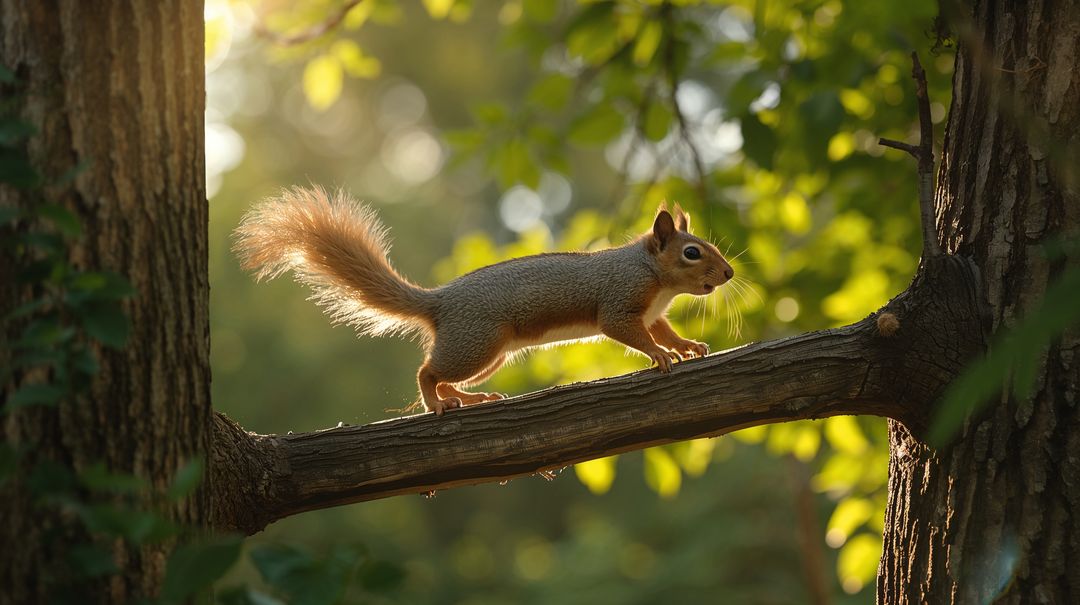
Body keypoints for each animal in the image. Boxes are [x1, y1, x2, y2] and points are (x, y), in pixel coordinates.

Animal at [233, 186, 735, 416]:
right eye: (692, 253)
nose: (729, 274)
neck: (653, 275)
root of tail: (437, 302)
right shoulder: (619, 300)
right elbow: (628, 332)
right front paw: (660, 355)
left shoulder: (653, 312)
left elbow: (664, 328)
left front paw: (687, 346)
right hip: (475, 343)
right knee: (427, 371)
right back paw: (436, 402)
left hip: (488, 353)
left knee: (445, 375)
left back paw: (467, 398)